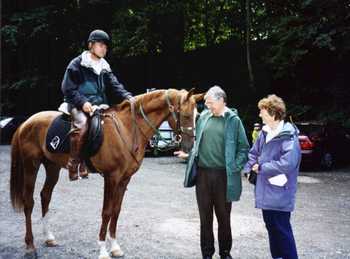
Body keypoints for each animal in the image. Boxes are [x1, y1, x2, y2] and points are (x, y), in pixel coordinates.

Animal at [10, 88, 202, 258]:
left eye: (197, 116)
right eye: (185, 115)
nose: (190, 147)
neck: (127, 129)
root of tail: (26, 122)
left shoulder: (124, 180)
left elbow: (116, 211)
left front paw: (115, 247)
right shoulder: (111, 177)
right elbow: (107, 212)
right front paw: (103, 251)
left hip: (52, 167)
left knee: (45, 196)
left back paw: (49, 238)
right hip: (31, 165)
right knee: (29, 202)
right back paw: (30, 246)